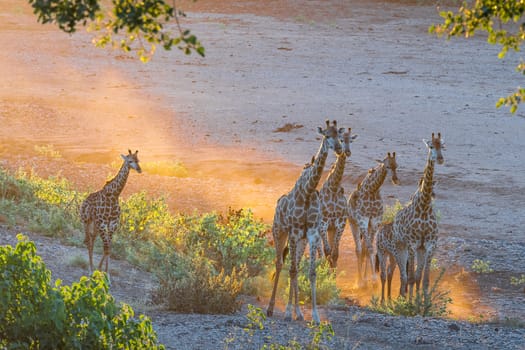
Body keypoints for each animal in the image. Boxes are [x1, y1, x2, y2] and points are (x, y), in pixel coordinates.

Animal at [80, 149, 141, 278]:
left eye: (138, 160)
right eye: (130, 161)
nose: (139, 169)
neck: (114, 195)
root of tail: (84, 200)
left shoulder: (112, 224)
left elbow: (108, 248)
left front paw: (105, 272)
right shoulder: (103, 223)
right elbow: (106, 247)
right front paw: (100, 271)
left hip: (95, 225)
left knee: (92, 241)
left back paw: (94, 268)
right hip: (86, 221)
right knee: (88, 242)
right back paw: (90, 269)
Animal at [266, 120, 344, 326]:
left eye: (339, 136)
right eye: (327, 135)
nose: (339, 148)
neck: (308, 191)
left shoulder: (312, 234)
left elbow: (310, 272)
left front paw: (314, 316)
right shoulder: (293, 232)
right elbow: (292, 270)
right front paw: (287, 313)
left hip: (300, 241)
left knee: (296, 266)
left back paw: (298, 313)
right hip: (279, 232)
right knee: (280, 264)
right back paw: (271, 309)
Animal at [318, 129, 358, 268]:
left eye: (351, 140)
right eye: (341, 139)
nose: (347, 151)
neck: (334, 187)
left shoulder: (340, 223)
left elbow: (335, 254)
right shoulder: (323, 222)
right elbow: (327, 251)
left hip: (332, 229)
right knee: (320, 251)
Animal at [346, 152, 400, 286]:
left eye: (396, 165)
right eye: (387, 166)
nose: (395, 179)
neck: (372, 190)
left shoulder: (375, 222)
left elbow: (370, 249)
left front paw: (373, 279)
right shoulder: (362, 221)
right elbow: (368, 249)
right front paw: (369, 281)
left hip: (368, 226)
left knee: (364, 248)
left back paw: (365, 279)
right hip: (353, 223)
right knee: (358, 249)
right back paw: (359, 281)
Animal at [390, 133, 444, 300]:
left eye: (443, 146)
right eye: (431, 146)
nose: (440, 159)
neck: (425, 206)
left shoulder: (429, 245)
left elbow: (424, 279)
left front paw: (423, 303)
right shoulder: (412, 244)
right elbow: (412, 278)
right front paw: (410, 303)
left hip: (418, 250)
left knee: (414, 276)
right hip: (399, 247)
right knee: (403, 276)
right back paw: (401, 298)